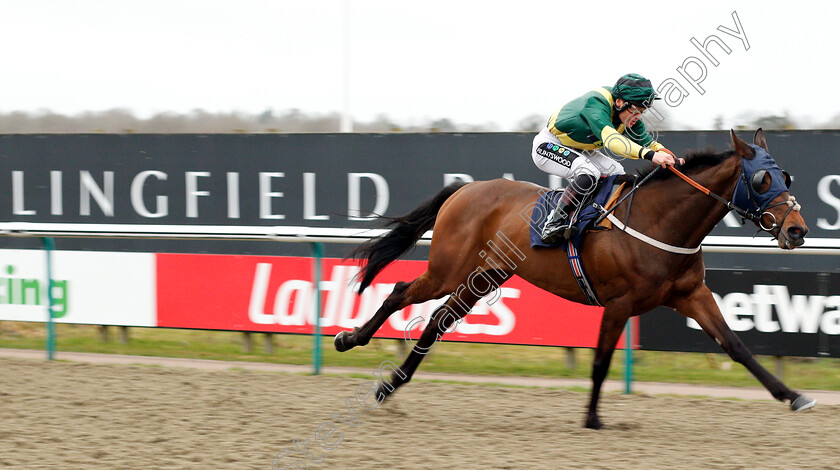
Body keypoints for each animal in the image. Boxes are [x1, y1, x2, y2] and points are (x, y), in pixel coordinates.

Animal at [334, 129, 812, 430]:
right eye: (762, 179)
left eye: (786, 175)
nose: (797, 230)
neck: (660, 221)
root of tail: (464, 188)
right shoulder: (620, 303)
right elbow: (600, 361)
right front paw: (593, 417)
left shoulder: (691, 294)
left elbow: (737, 347)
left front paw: (793, 396)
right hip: (448, 268)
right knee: (400, 292)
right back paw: (348, 339)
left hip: (485, 276)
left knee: (437, 322)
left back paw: (388, 386)